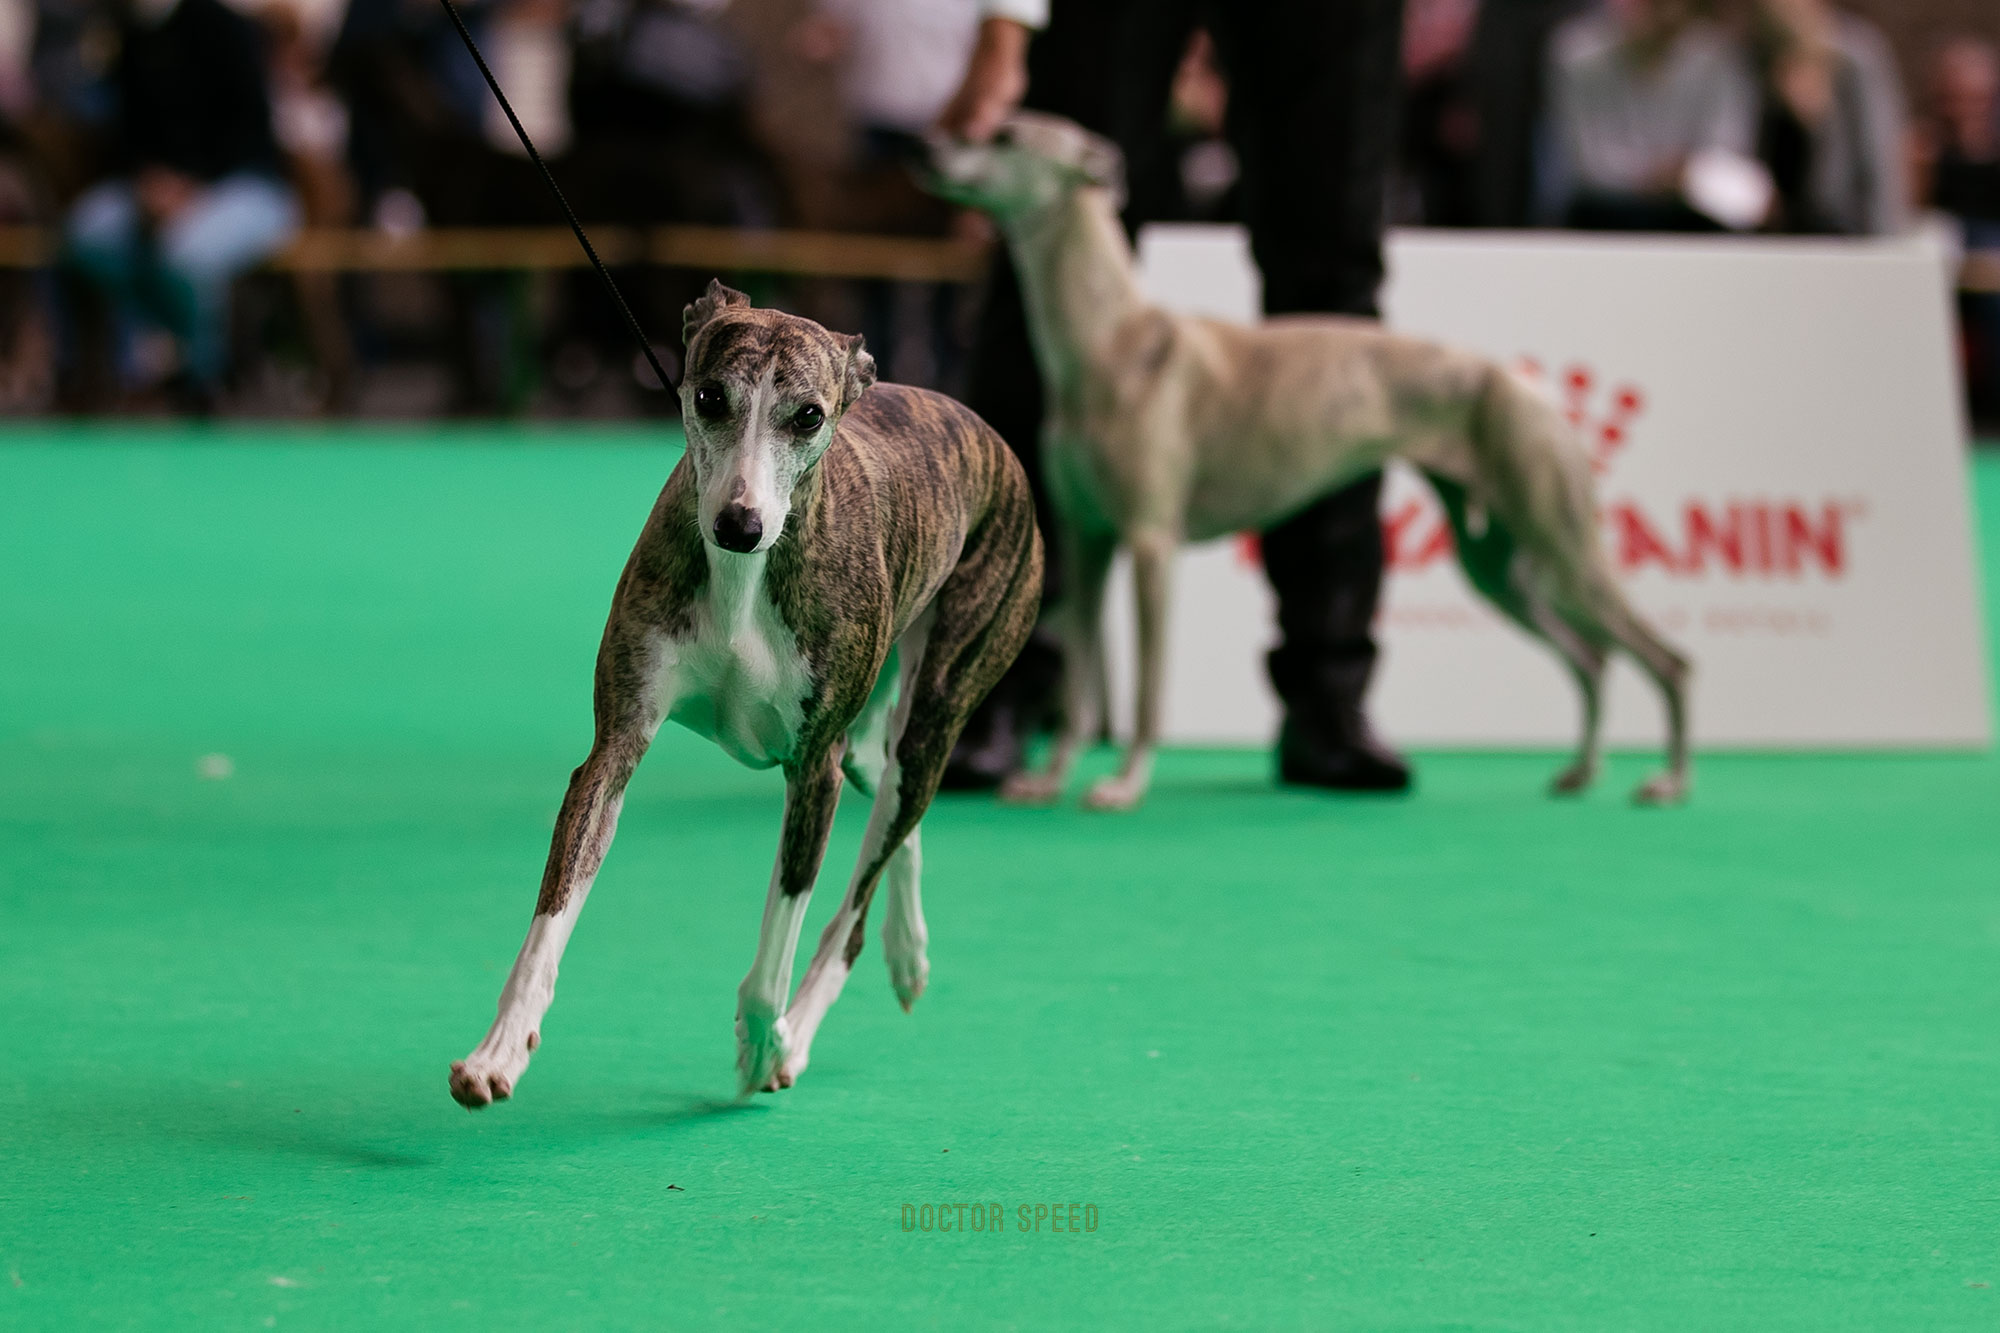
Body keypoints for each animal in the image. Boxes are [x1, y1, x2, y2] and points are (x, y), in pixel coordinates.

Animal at [450, 280, 1048, 1096]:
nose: (740, 524)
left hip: (943, 690)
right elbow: (550, 919)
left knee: (864, 883)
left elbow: (777, 948)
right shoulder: (617, 746)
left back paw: (808, 1027)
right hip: (873, 738)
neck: (744, 581)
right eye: (708, 395)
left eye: (809, 415)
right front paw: (499, 1051)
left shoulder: (814, 772)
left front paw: (763, 1043)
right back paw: (907, 948)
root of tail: (985, 432)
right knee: (897, 809)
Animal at [924, 111, 1688, 808]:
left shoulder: (1149, 541)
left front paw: (1124, 783)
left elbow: (1145, 690)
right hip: (1497, 565)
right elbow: (1080, 680)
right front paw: (1049, 779)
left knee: (1668, 658)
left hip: (1562, 541)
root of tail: (1526, 386)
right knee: (1591, 657)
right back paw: (1582, 772)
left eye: (1006, 135)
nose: (923, 149)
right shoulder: (1087, 540)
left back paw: (1669, 781)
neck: (1112, 341)